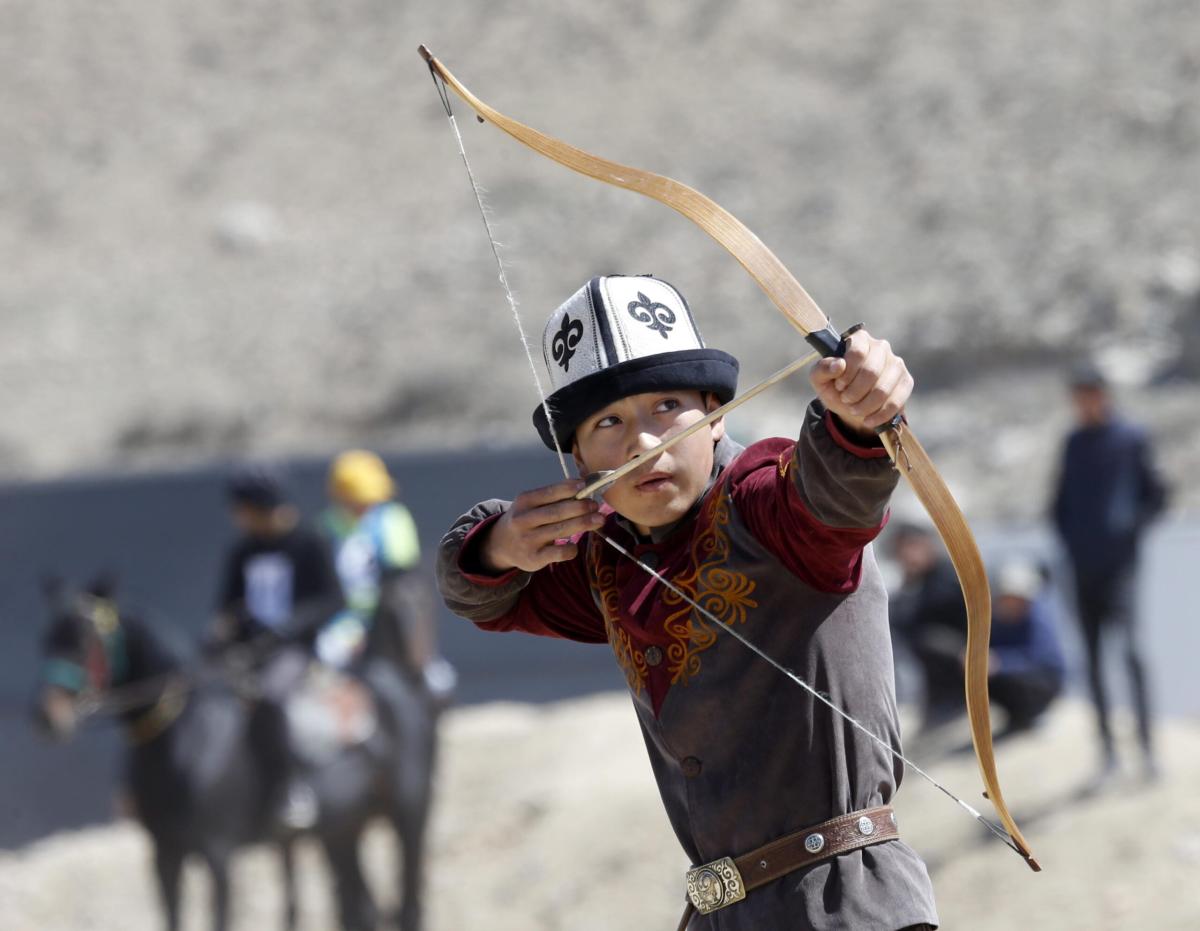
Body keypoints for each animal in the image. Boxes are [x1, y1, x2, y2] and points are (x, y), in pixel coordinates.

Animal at [31, 580, 436, 931]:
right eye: (48, 639)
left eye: (83, 641)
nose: (48, 716)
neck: (187, 740)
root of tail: (393, 677)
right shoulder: (165, 854)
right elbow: (172, 919)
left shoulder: (219, 854)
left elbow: (218, 920)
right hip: (342, 828)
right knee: (362, 908)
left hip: (408, 813)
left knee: (409, 906)